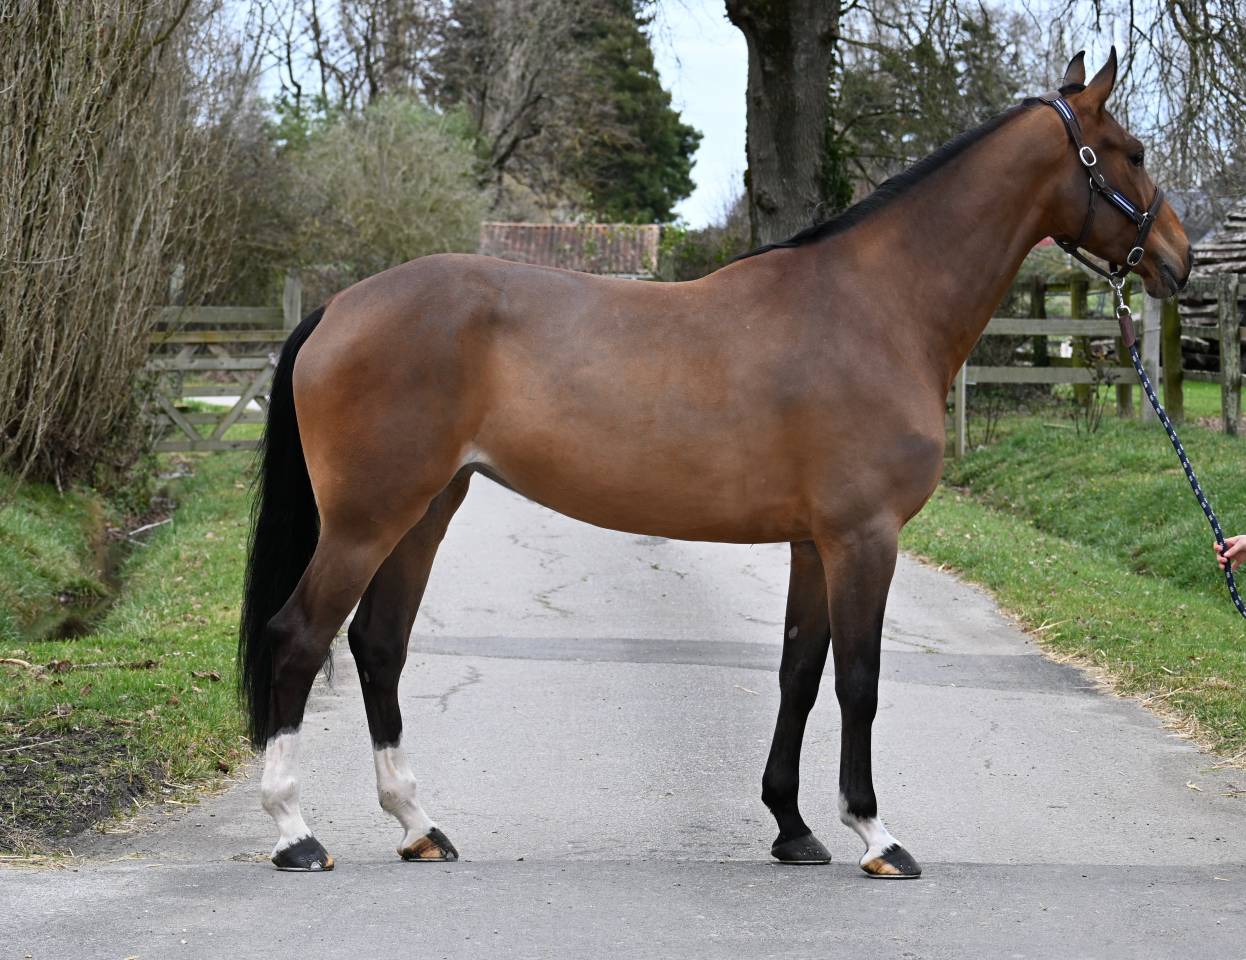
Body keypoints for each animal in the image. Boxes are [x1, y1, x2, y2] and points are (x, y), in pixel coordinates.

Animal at [238, 48, 1190, 875]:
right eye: (1134, 153)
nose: (1178, 258)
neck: (877, 309)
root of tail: (338, 306)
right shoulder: (864, 538)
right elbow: (860, 682)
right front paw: (875, 833)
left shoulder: (815, 543)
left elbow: (799, 673)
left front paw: (793, 827)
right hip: (367, 520)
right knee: (299, 637)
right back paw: (296, 835)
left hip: (427, 510)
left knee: (379, 645)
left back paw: (418, 823)